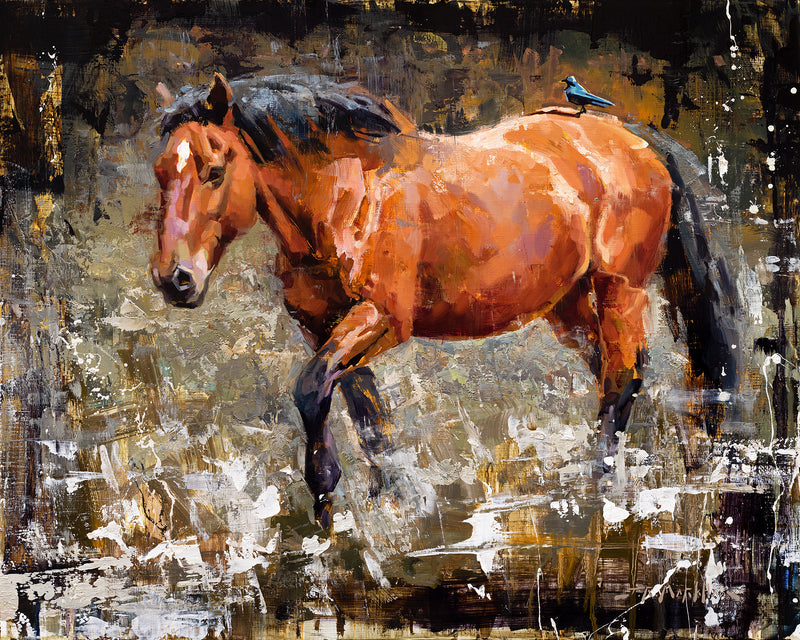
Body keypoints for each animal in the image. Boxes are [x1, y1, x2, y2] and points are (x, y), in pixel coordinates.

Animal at [150, 73, 739, 527]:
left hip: (620, 287)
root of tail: (635, 141)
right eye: (160, 173)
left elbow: (313, 387)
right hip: (567, 305)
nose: (174, 279)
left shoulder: (382, 319)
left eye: (214, 170)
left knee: (623, 375)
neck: (348, 198)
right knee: (611, 372)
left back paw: (599, 486)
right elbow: (364, 409)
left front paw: (325, 497)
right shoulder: (322, 325)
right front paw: (393, 500)